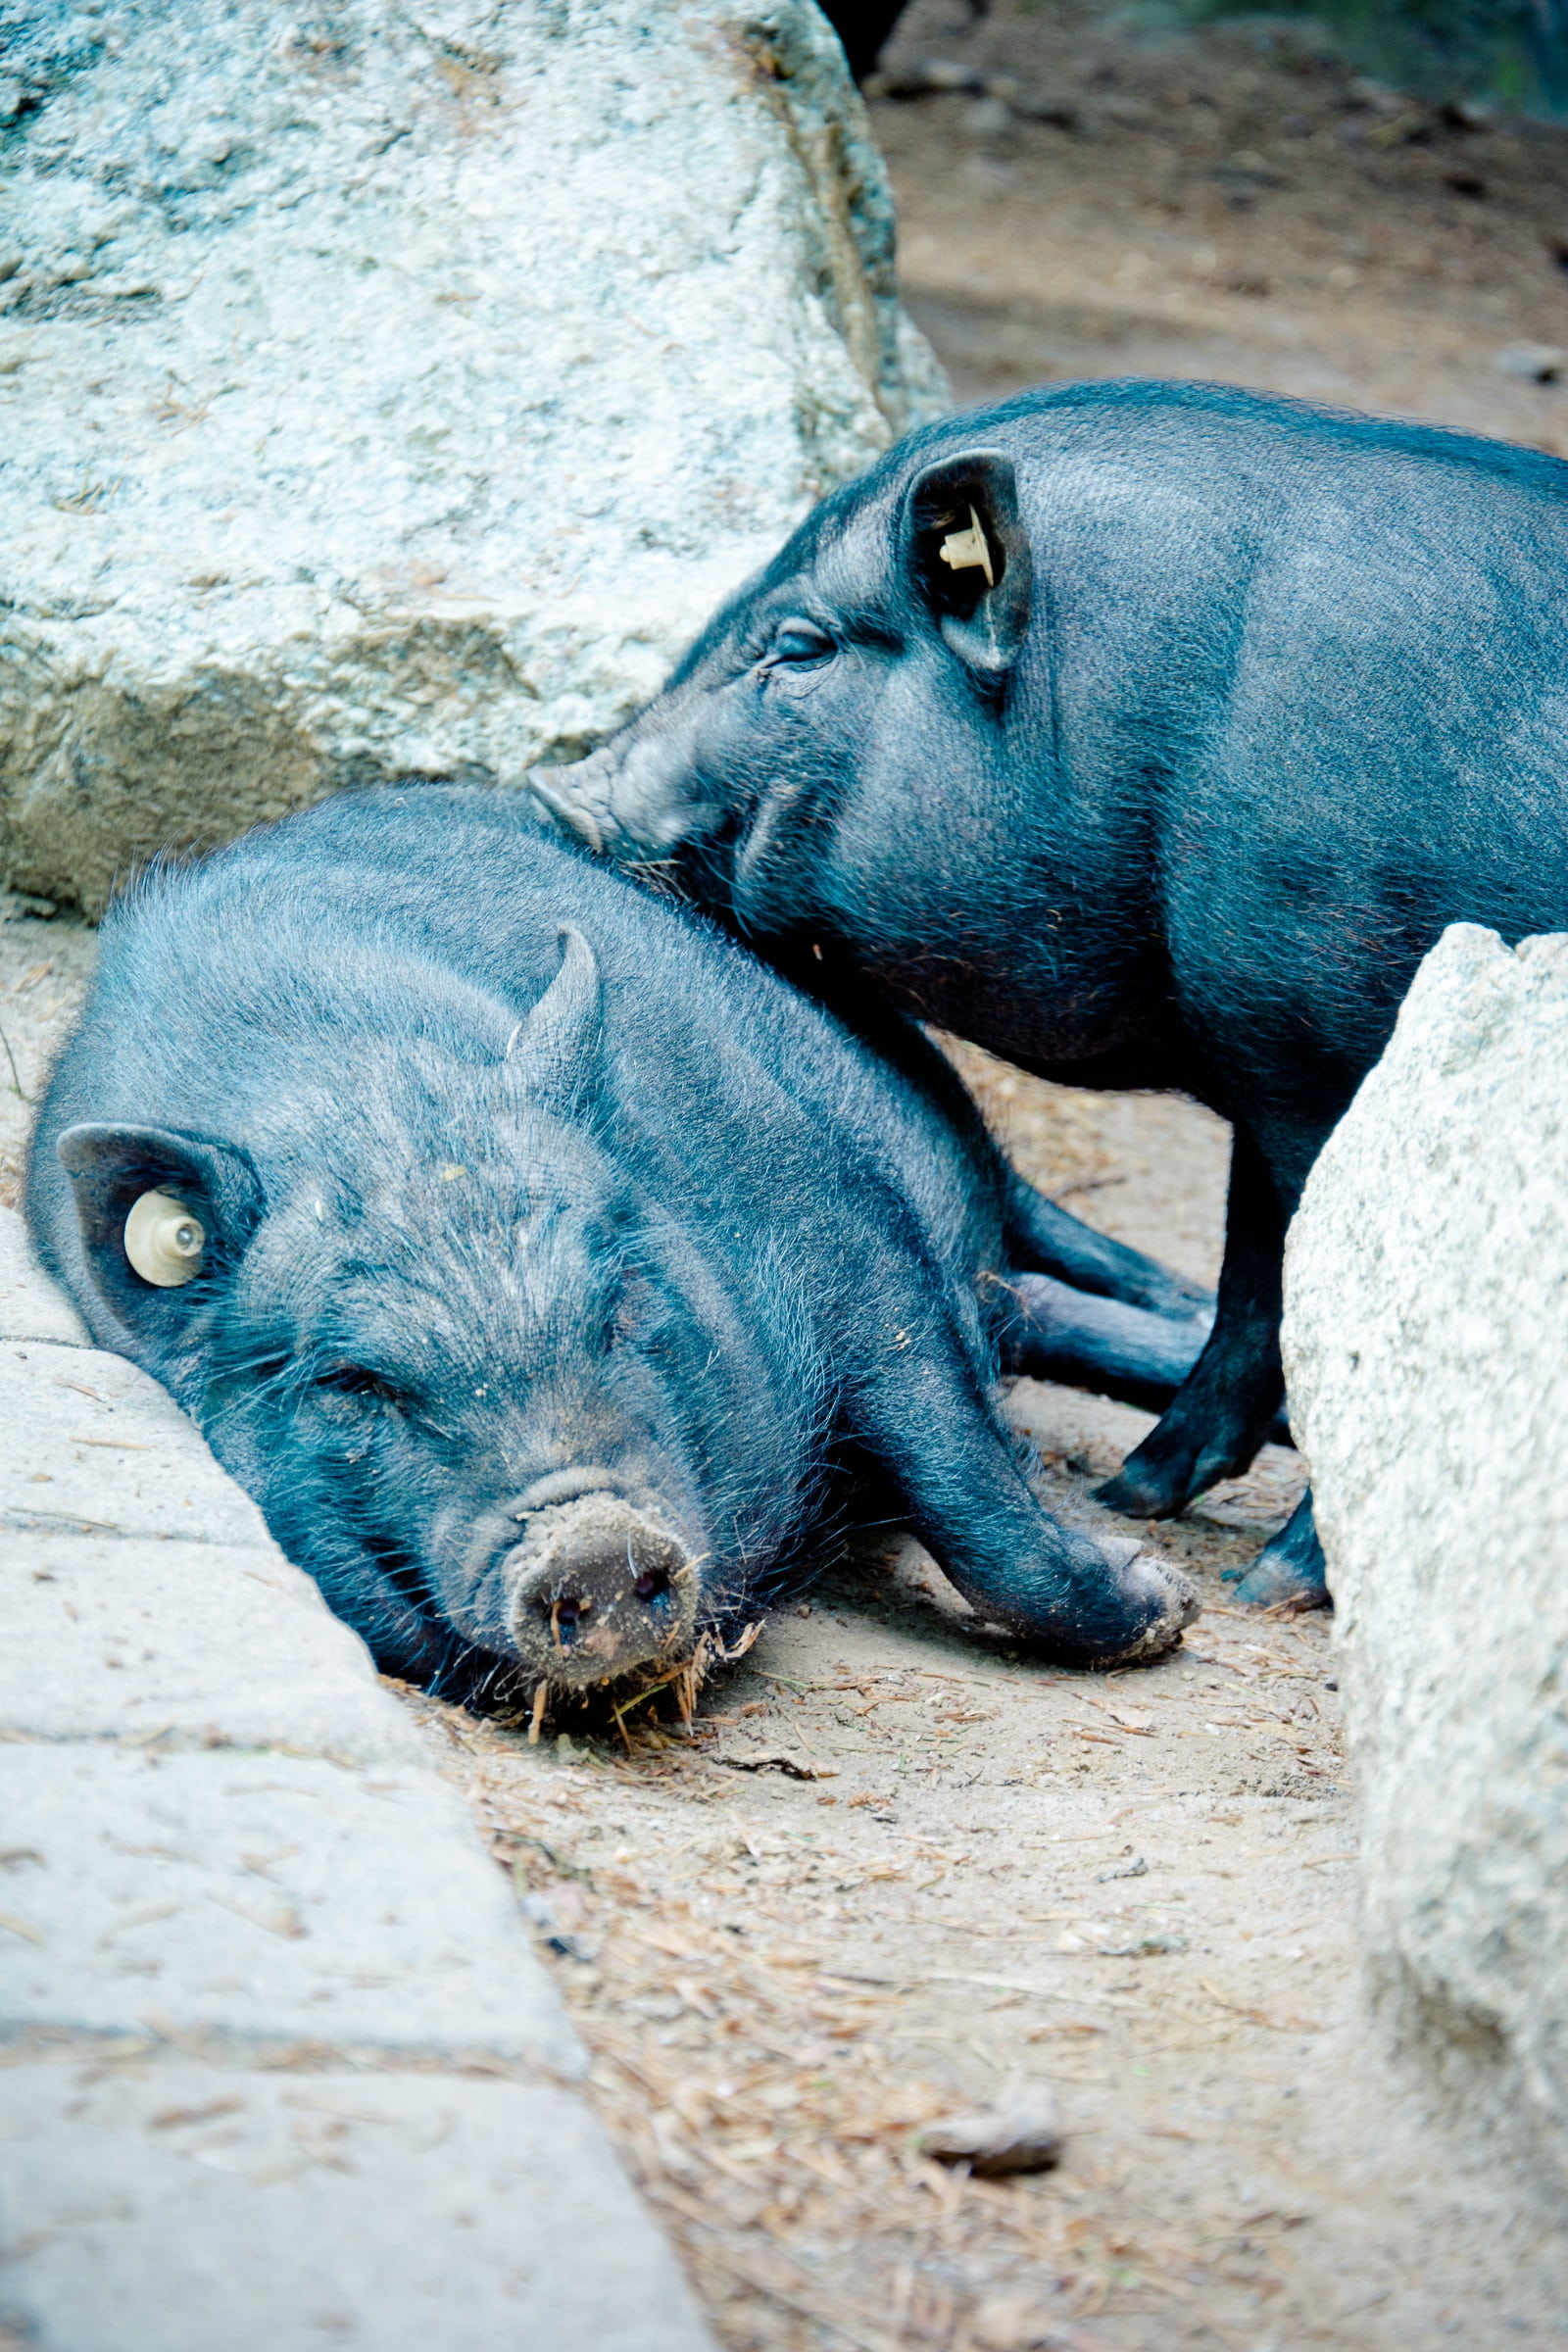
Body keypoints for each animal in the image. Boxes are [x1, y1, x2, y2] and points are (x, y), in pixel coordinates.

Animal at [27, 784, 1208, 1702]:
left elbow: (952, 1454)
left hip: (946, 1113)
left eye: (618, 1306)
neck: (364, 1098)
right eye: (355, 1383)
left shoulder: (839, 1217)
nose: (591, 1540)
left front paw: (1169, 1603)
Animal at [530, 378, 1568, 1609]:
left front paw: (1260, 1589)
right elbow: (1254, 1278)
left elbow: (1347, 1308)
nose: (551, 792)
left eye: (798, 646)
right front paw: (1133, 1496)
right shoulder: (1262, 1054)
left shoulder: (1336, 1061)